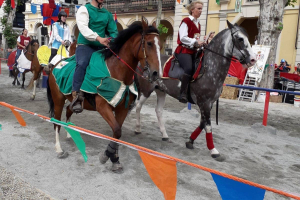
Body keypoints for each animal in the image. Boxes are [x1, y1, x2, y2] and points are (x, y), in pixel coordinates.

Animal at [47, 16, 162, 173]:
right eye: (149, 43)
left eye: (160, 44)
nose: (156, 74)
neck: (116, 71)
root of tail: (55, 65)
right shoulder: (103, 107)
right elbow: (117, 131)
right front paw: (107, 156)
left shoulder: (122, 109)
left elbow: (117, 134)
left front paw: (114, 159)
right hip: (58, 100)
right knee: (56, 122)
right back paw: (59, 149)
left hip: (72, 101)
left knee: (68, 111)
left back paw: (70, 133)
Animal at [135, 20, 256, 161]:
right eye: (240, 39)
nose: (253, 59)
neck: (209, 68)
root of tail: (142, 63)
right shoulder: (204, 103)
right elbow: (208, 125)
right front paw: (213, 150)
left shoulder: (209, 103)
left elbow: (203, 123)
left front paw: (190, 141)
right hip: (145, 91)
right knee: (138, 106)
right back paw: (137, 129)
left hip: (161, 91)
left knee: (158, 111)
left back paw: (164, 134)